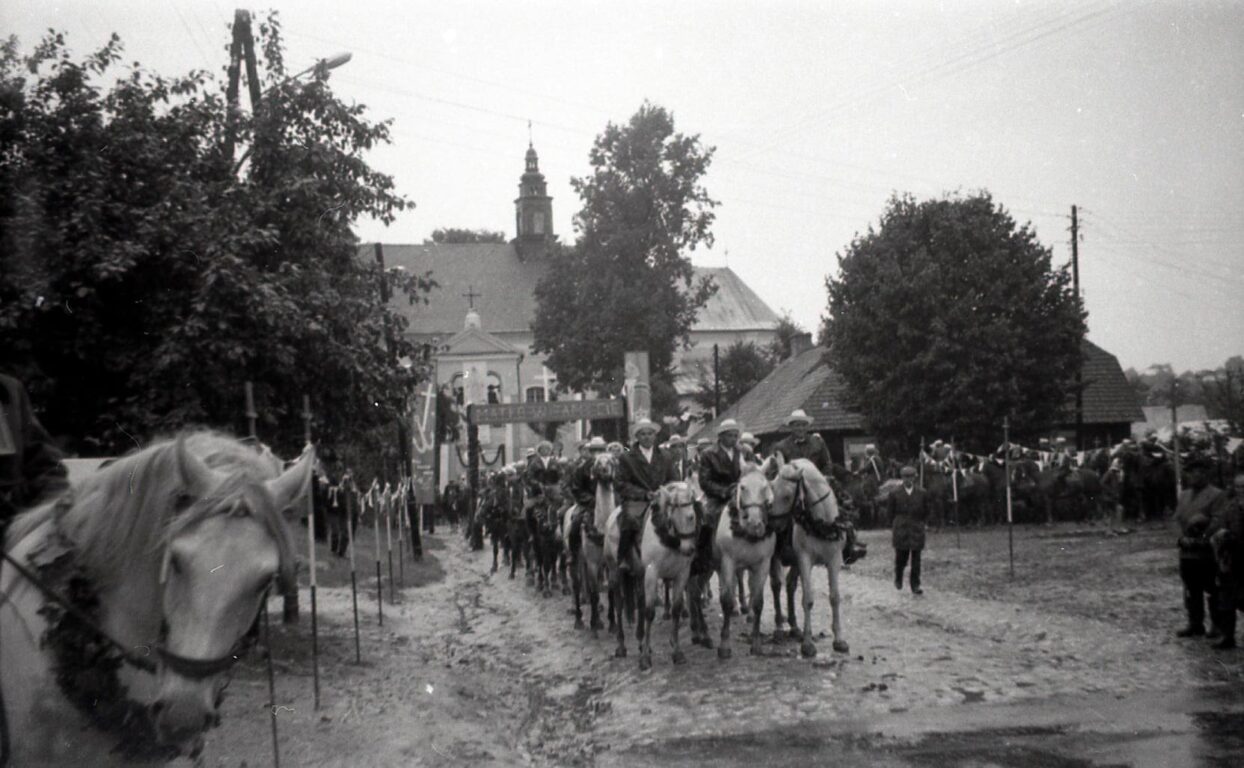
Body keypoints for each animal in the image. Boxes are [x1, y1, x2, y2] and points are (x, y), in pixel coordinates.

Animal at [771, 455, 850, 657]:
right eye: (771, 487)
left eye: (787, 496)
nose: (768, 523)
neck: (821, 523)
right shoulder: (804, 560)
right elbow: (807, 599)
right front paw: (807, 644)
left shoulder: (834, 560)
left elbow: (835, 597)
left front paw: (839, 640)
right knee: (776, 586)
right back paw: (779, 627)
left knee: (790, 585)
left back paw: (794, 627)